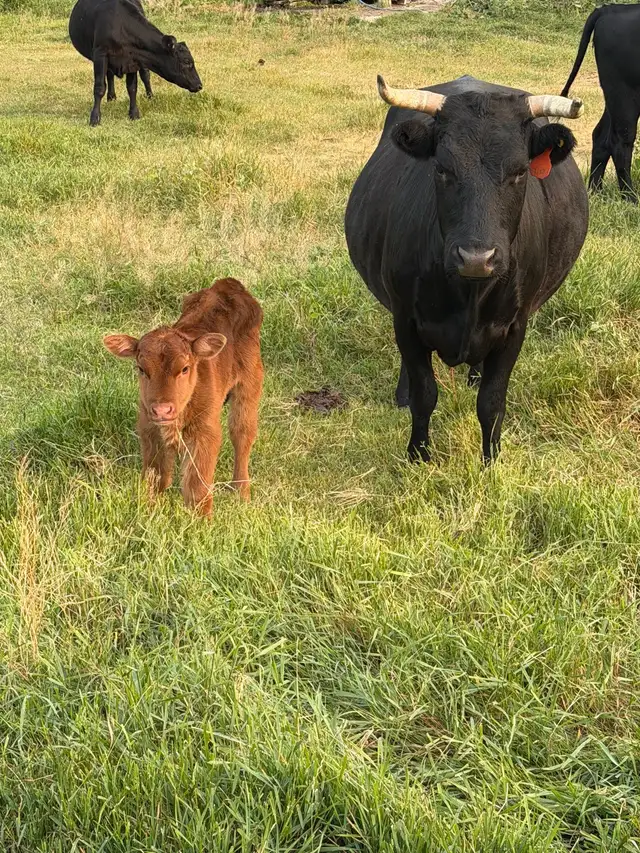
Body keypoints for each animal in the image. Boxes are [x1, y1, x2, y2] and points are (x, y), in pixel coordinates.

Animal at [69, 0, 202, 126]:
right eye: (187, 61)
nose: (199, 85)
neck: (121, 26)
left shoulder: (133, 60)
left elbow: (132, 88)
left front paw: (134, 114)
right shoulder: (100, 54)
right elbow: (99, 87)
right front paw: (95, 118)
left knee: (145, 76)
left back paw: (150, 96)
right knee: (109, 74)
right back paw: (111, 97)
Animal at [103, 278, 263, 517]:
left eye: (185, 368)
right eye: (141, 369)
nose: (162, 409)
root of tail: (227, 284)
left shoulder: (205, 433)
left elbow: (197, 487)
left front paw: (201, 522)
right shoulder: (149, 429)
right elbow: (154, 478)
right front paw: (148, 511)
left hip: (249, 384)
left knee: (242, 433)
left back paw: (241, 492)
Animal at [345, 76, 588, 464]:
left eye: (520, 171)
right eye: (442, 169)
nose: (476, 257)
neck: (468, 293)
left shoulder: (515, 327)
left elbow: (491, 402)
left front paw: (491, 461)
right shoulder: (406, 319)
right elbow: (425, 394)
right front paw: (418, 455)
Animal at [561, 3, 640, 202]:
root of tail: (609, 9)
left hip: (613, 94)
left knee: (601, 135)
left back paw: (595, 191)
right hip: (626, 92)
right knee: (621, 141)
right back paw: (630, 197)